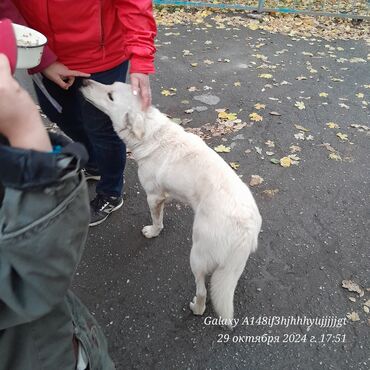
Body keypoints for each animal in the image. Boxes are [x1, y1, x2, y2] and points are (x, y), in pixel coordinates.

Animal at [81, 80, 262, 326]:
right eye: (112, 84)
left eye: (110, 95)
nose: (83, 81)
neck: (152, 134)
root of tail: (246, 229)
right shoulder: (163, 196)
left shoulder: (153, 196)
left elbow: (157, 220)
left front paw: (153, 232)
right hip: (230, 264)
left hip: (196, 256)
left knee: (202, 291)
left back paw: (197, 307)